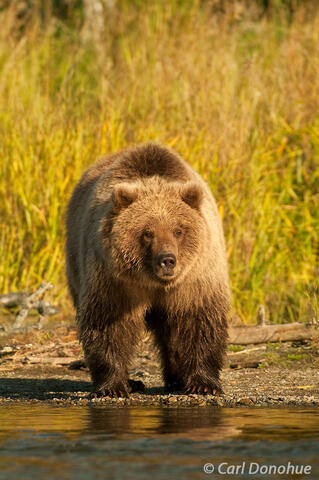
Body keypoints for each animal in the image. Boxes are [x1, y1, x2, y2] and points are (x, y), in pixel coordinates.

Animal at [65, 143, 230, 398]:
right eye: (147, 232)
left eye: (178, 230)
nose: (167, 260)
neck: (153, 283)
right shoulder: (114, 279)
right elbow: (109, 324)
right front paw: (113, 386)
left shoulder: (196, 278)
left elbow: (199, 319)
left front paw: (203, 384)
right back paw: (135, 382)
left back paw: (176, 379)